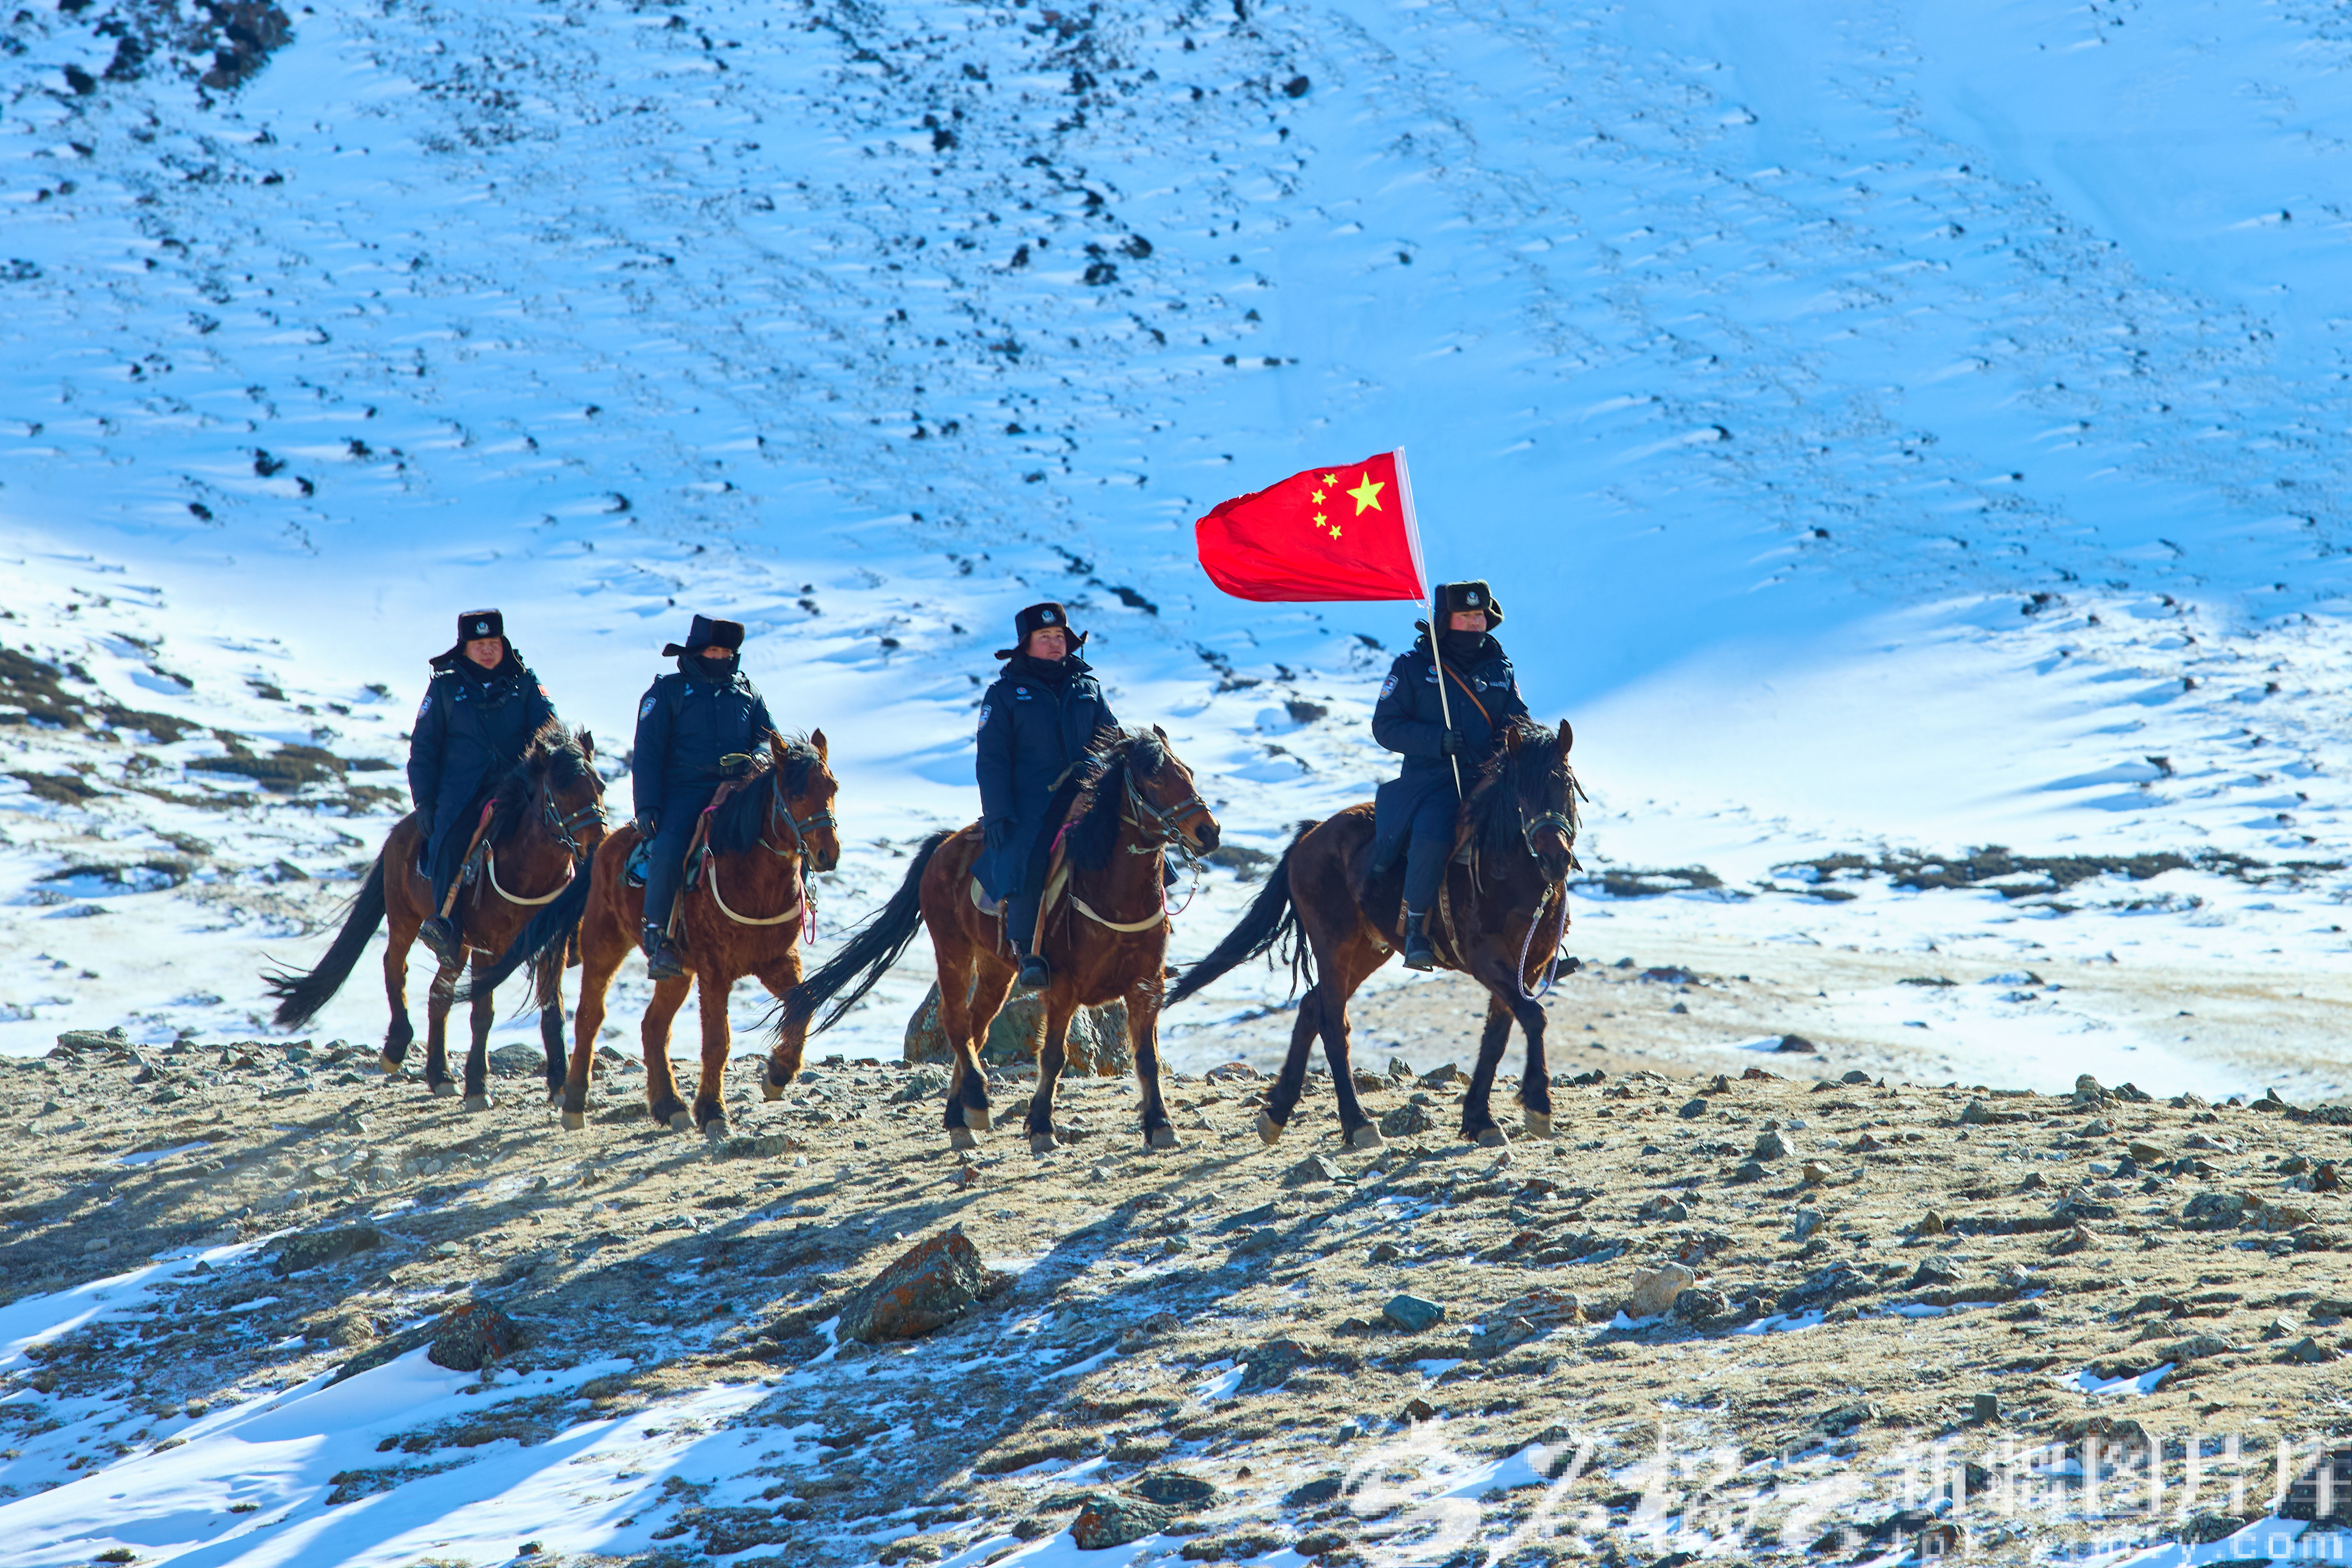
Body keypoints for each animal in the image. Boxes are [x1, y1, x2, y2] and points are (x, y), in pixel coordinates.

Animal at [262, 721, 607, 1109]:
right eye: (560, 791)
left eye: (600, 785)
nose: (598, 843)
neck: (526, 873)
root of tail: (402, 830)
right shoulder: (487, 946)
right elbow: (482, 1014)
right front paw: (478, 1085)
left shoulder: (552, 948)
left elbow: (553, 1011)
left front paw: (561, 1084)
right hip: (407, 919)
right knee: (395, 967)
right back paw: (398, 1047)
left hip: (456, 947)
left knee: (438, 994)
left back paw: (440, 1074)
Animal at [464, 730, 840, 1136]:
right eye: (798, 795)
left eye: (832, 787)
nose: (828, 853)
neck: (751, 876)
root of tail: (604, 845)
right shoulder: (715, 972)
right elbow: (718, 1042)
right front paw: (714, 1112)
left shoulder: (777, 961)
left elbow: (803, 1007)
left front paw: (777, 1074)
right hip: (604, 947)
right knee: (589, 1019)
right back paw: (576, 1102)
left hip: (677, 971)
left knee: (652, 1026)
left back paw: (669, 1105)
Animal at [781, 726, 1219, 1154]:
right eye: (1155, 779)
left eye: (1189, 773)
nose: (1209, 832)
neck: (1112, 896)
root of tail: (944, 845)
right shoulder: (1063, 989)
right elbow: (1053, 1056)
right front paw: (1041, 1127)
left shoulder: (1146, 987)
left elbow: (1146, 1058)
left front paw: (1160, 1124)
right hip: (953, 950)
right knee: (956, 1023)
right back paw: (974, 1104)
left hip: (996, 969)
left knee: (976, 1028)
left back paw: (958, 1117)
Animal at [1167, 718, 1580, 1149]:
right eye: (1519, 793)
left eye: (1565, 784)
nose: (1556, 858)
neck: (1510, 875)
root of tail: (1310, 835)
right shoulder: (1487, 960)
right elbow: (1532, 1017)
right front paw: (1537, 1104)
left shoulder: (1528, 966)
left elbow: (1499, 1033)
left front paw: (1480, 1118)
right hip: (1333, 946)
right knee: (1332, 1021)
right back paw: (1357, 1121)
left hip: (1367, 951)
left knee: (1311, 1007)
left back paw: (1277, 1113)